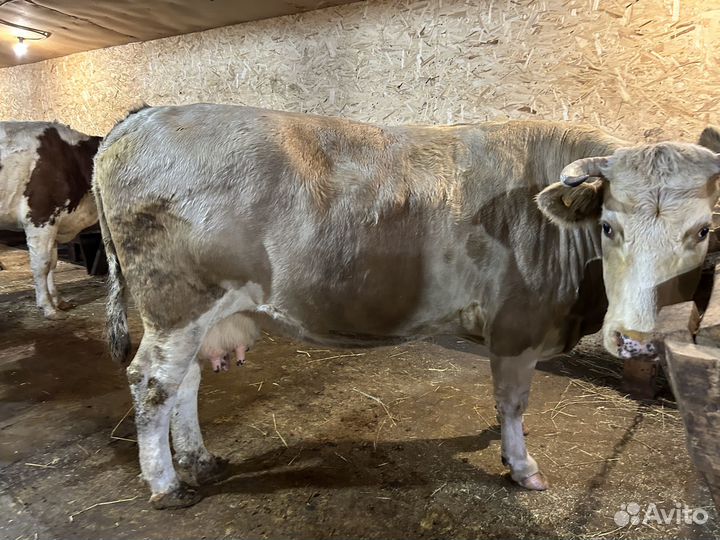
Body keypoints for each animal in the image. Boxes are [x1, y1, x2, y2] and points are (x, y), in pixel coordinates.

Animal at [0, 122, 102, 319]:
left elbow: (52, 263)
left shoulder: (56, 222)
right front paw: (47, 307)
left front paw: (58, 301)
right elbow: (42, 264)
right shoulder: (40, 218)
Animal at [92, 104, 720, 509]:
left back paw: (198, 460)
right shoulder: (517, 325)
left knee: (185, 384)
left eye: (703, 230)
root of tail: (142, 117)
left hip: (198, 313)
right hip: (177, 302)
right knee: (152, 384)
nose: (637, 339)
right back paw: (167, 486)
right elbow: (513, 402)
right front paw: (521, 467)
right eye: (609, 226)